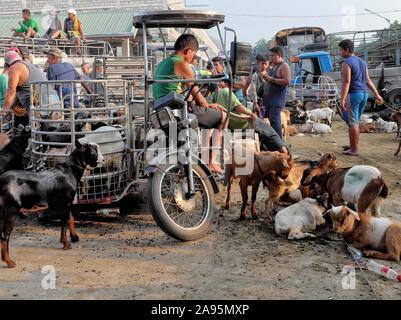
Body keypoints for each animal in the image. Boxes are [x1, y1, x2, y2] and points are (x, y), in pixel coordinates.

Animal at [0, 140, 103, 268]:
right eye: (93, 151)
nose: (101, 161)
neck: (69, 171)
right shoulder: (65, 201)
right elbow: (65, 222)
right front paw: (66, 244)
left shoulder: (65, 203)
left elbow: (70, 218)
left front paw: (73, 237)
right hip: (11, 208)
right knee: (5, 234)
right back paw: (9, 261)